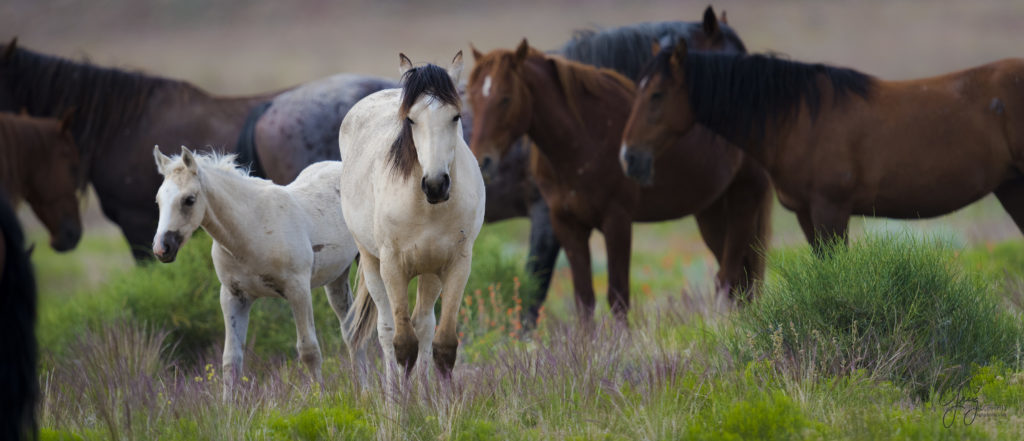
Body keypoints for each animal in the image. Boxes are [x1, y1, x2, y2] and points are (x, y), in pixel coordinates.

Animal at [149, 146, 362, 399]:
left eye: (189, 200)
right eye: (158, 201)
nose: (162, 248)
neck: (252, 228)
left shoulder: (298, 290)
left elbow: (309, 350)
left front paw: (321, 399)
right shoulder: (233, 296)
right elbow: (231, 359)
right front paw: (228, 408)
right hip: (337, 278)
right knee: (353, 330)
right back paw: (364, 389)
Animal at [337, 52, 485, 382]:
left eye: (455, 116)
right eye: (411, 119)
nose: (436, 184)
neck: (427, 208)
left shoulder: (458, 264)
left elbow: (444, 346)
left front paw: (440, 397)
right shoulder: (392, 266)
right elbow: (403, 345)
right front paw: (402, 399)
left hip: (430, 271)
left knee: (425, 325)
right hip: (372, 262)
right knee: (386, 330)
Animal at [468, 37, 770, 321]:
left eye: (505, 98)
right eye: (472, 100)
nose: (482, 160)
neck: (583, 140)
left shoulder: (617, 221)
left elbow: (618, 298)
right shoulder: (566, 223)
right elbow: (584, 299)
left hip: (744, 197)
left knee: (732, 276)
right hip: (710, 211)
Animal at [618, 41, 1024, 251]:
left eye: (656, 95)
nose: (629, 157)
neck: (797, 119)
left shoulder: (832, 211)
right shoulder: (805, 213)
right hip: (1011, 189)